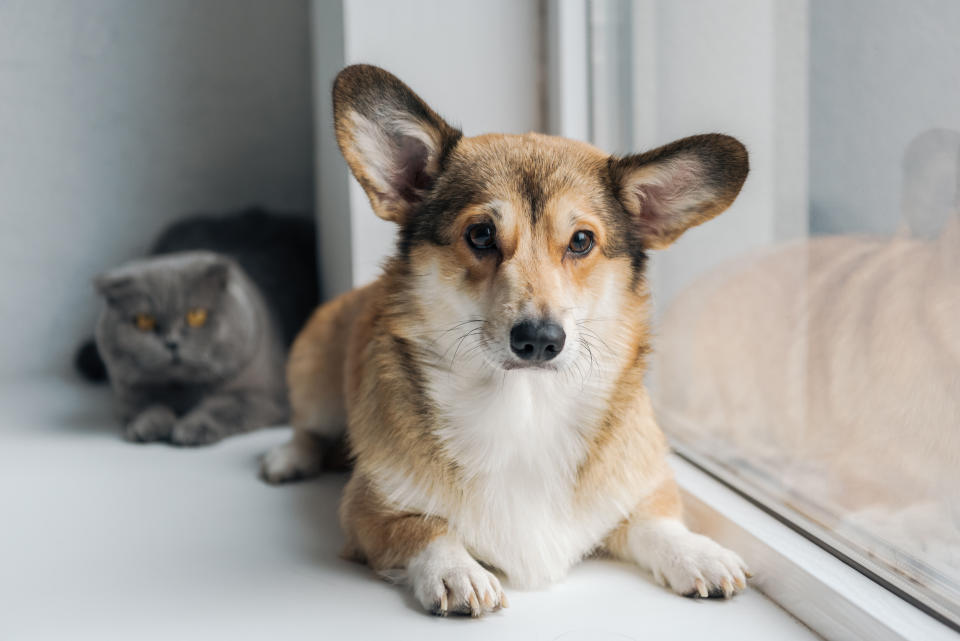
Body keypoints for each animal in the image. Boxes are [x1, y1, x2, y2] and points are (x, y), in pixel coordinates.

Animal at [93, 250, 288, 444]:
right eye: (144, 321)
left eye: (196, 315)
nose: (172, 342)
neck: (184, 392)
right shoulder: (127, 395)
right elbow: (150, 406)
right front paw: (149, 426)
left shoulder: (263, 397)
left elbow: (224, 407)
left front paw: (194, 428)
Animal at [260, 65, 752, 616]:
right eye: (480, 234)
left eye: (582, 241)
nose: (539, 340)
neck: (524, 408)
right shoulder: (368, 512)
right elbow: (427, 530)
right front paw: (456, 572)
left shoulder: (645, 488)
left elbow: (658, 521)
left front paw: (698, 553)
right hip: (317, 379)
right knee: (307, 428)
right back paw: (287, 459)